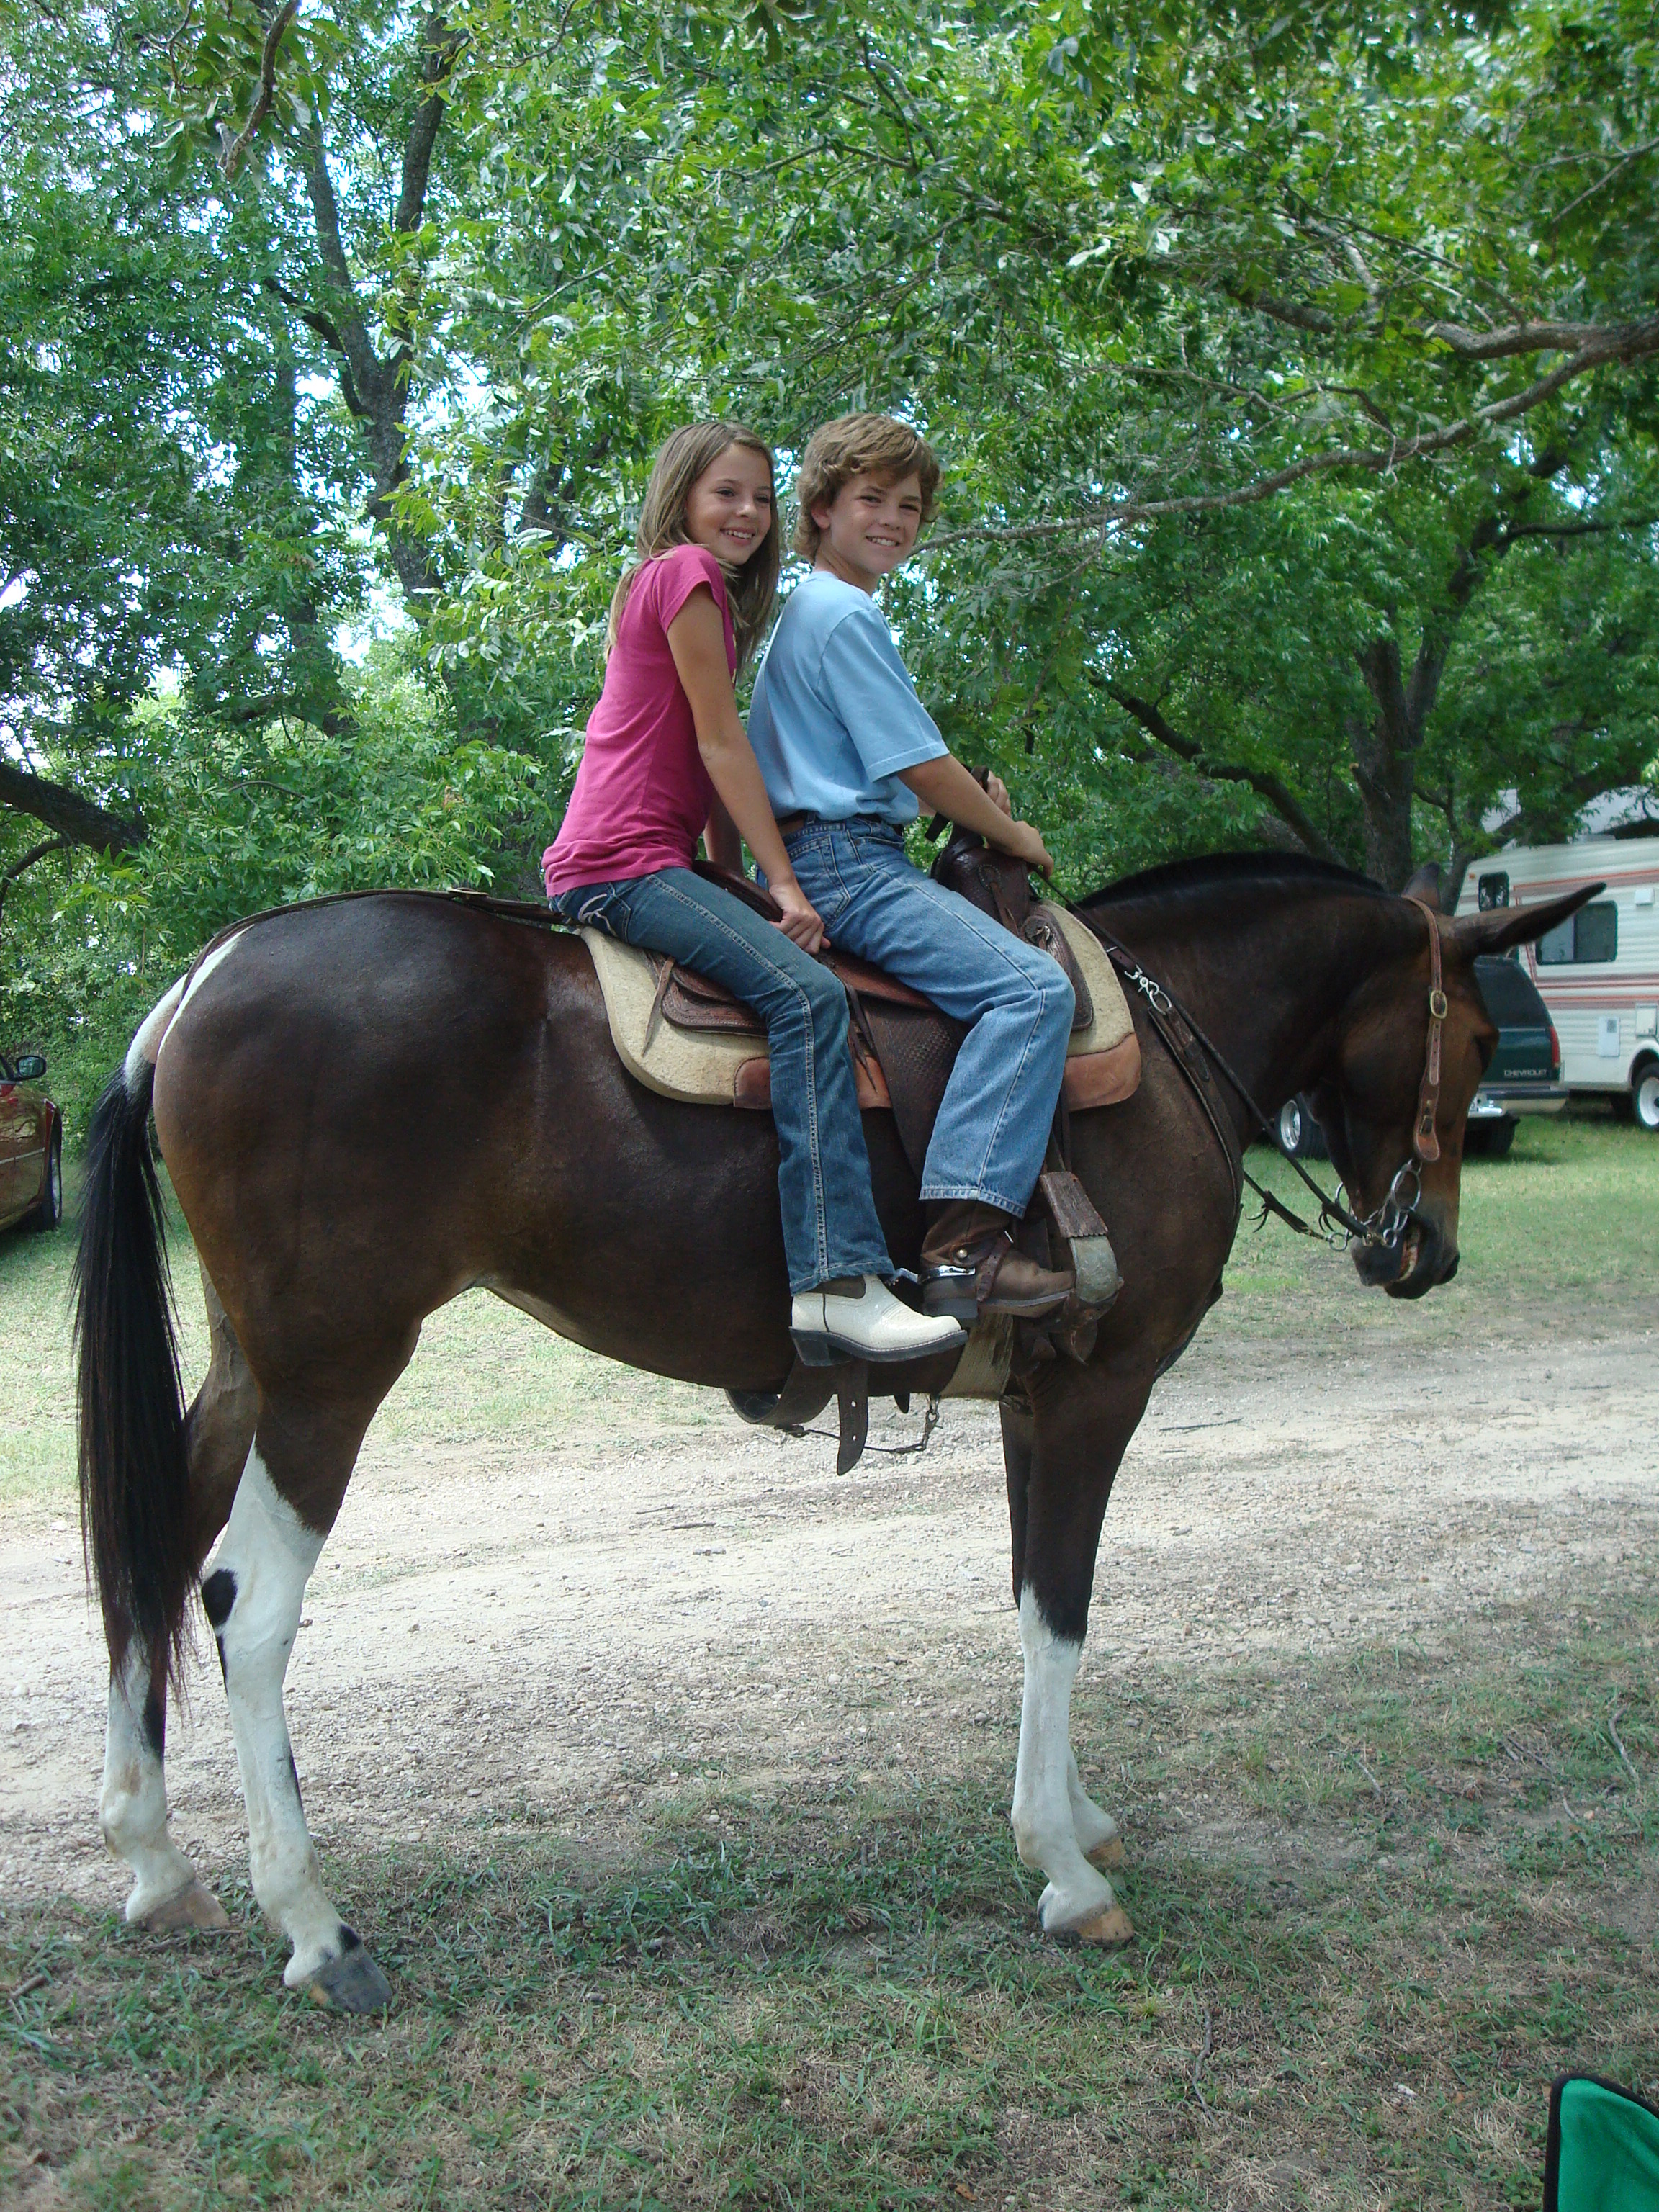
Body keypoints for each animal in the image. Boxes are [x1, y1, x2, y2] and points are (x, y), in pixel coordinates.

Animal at [78, 853, 1601, 2017]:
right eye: (1474, 1039)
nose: (1423, 1252)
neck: (1163, 1044)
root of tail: (198, 982)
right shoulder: (1100, 1393)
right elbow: (1062, 1608)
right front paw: (1065, 1870)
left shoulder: (1037, 1401)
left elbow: (1031, 1602)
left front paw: (1070, 1815)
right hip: (333, 1370)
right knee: (245, 1605)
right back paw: (314, 1925)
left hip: (249, 1368)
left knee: (152, 1553)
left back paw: (155, 1861)